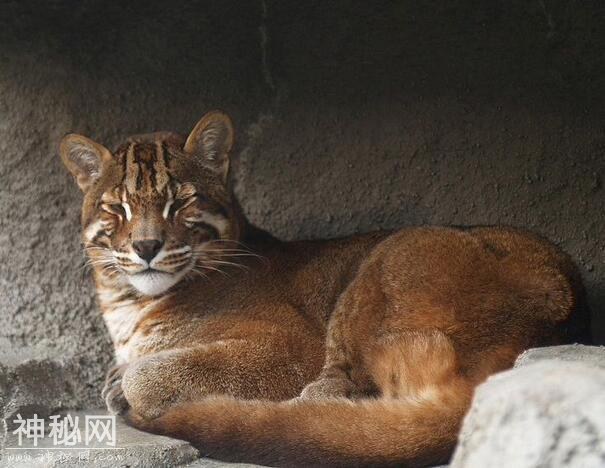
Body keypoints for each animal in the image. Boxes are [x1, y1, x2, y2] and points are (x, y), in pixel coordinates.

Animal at [59, 111, 588, 466]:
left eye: (181, 203)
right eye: (116, 209)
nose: (147, 246)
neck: (126, 302)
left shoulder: (288, 347)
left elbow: (147, 374)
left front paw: (127, 388)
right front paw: (115, 380)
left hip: (384, 260)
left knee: (318, 415)